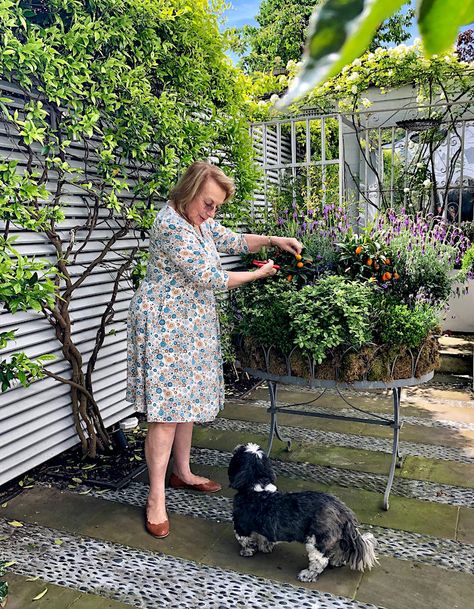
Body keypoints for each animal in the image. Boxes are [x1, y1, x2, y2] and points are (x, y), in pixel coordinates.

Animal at [228, 442, 380, 580]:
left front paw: (247, 551)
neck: (257, 487)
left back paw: (308, 574)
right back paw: (337, 561)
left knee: (320, 561)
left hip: (317, 541)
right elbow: (264, 538)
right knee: (341, 548)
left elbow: (245, 540)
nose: (237, 446)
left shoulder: (241, 526)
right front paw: (265, 547)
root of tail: (341, 510)